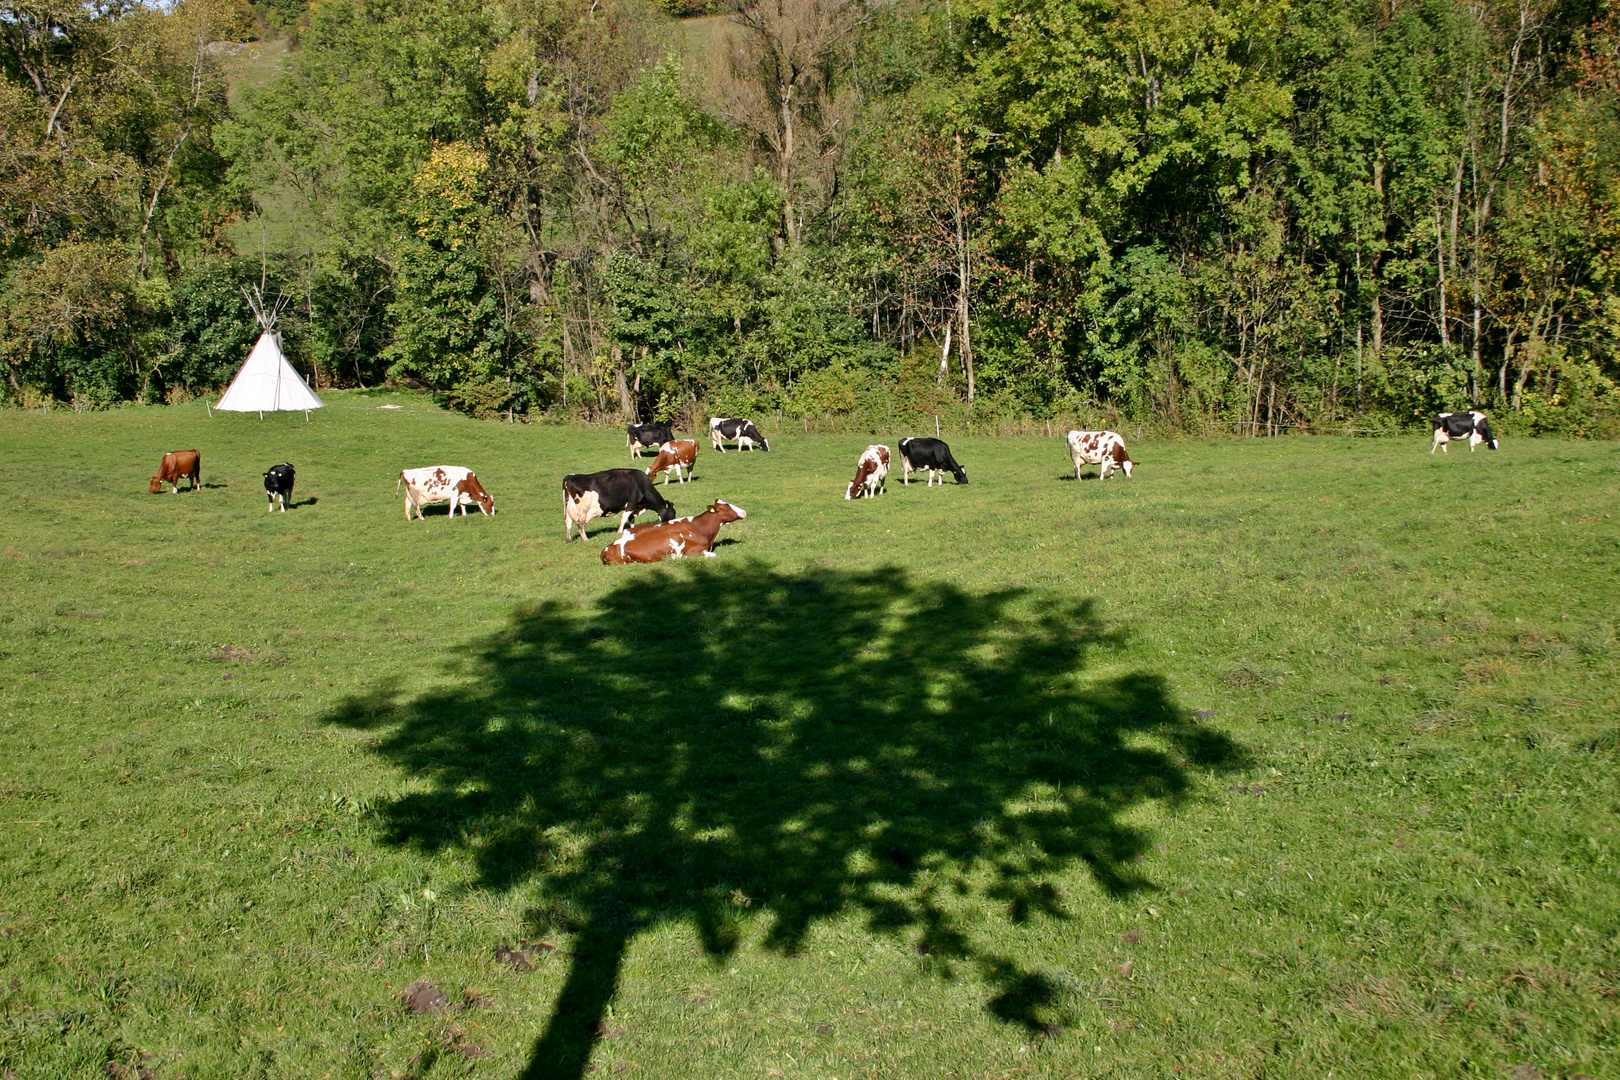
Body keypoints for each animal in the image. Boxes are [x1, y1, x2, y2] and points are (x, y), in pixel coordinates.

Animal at [602, 498, 745, 566]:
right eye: (726, 507)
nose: (744, 512)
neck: (700, 527)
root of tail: (606, 550)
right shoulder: (695, 551)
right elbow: (713, 554)